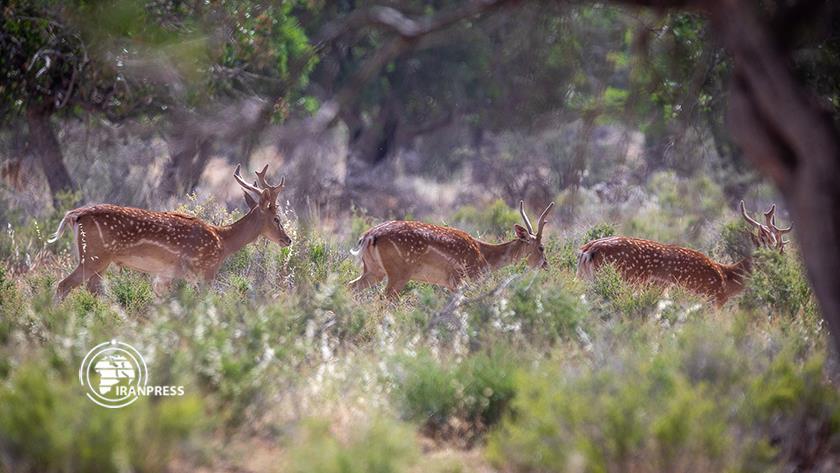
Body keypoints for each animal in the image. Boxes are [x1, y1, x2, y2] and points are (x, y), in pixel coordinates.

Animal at [48, 164, 291, 301]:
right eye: (277, 218)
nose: (287, 240)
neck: (223, 241)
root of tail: (75, 215)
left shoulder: (169, 274)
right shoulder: (206, 270)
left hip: (97, 260)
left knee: (92, 289)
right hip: (94, 256)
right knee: (63, 286)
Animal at [349, 201, 554, 297]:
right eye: (542, 247)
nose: (546, 265)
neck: (485, 257)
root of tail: (368, 236)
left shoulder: (449, 283)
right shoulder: (463, 278)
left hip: (373, 270)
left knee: (350, 286)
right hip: (399, 272)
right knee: (383, 298)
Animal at [576, 200, 792, 307]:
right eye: (774, 254)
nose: (785, 271)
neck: (726, 280)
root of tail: (588, 250)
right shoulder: (712, 301)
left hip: (583, 278)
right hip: (622, 279)